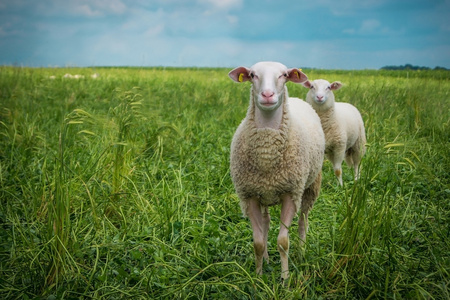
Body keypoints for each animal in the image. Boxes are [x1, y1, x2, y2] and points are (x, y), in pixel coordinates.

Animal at [229, 62, 324, 280]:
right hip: (265, 193)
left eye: (283, 75)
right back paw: (266, 260)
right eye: (252, 75)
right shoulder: (250, 195)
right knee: (266, 222)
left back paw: (301, 252)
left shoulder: (290, 193)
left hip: (310, 186)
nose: (267, 95)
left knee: (303, 220)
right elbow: (257, 242)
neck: (267, 151)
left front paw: (285, 278)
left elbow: (283, 242)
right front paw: (257, 277)